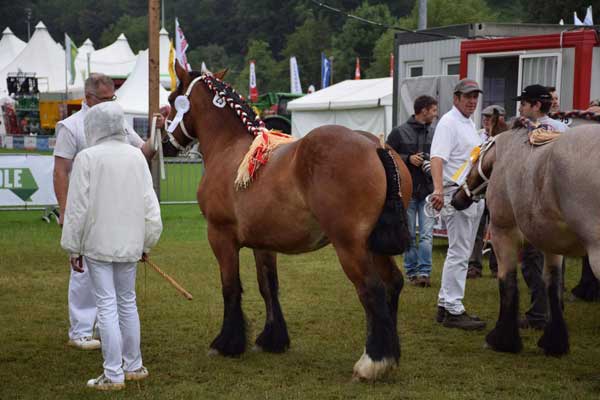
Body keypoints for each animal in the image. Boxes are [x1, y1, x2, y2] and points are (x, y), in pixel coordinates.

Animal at [162, 61, 410, 380]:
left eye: (172, 100)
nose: (165, 145)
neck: (230, 148)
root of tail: (377, 146)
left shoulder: (220, 237)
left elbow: (230, 287)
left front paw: (227, 343)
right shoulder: (263, 243)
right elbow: (268, 286)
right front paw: (272, 339)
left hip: (351, 246)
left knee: (372, 290)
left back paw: (372, 362)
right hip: (374, 245)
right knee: (393, 284)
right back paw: (390, 355)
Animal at [452, 115, 600, 356]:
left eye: (473, 158)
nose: (456, 198)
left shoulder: (502, 234)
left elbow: (507, 282)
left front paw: (502, 339)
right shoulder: (551, 244)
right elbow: (552, 285)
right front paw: (554, 342)